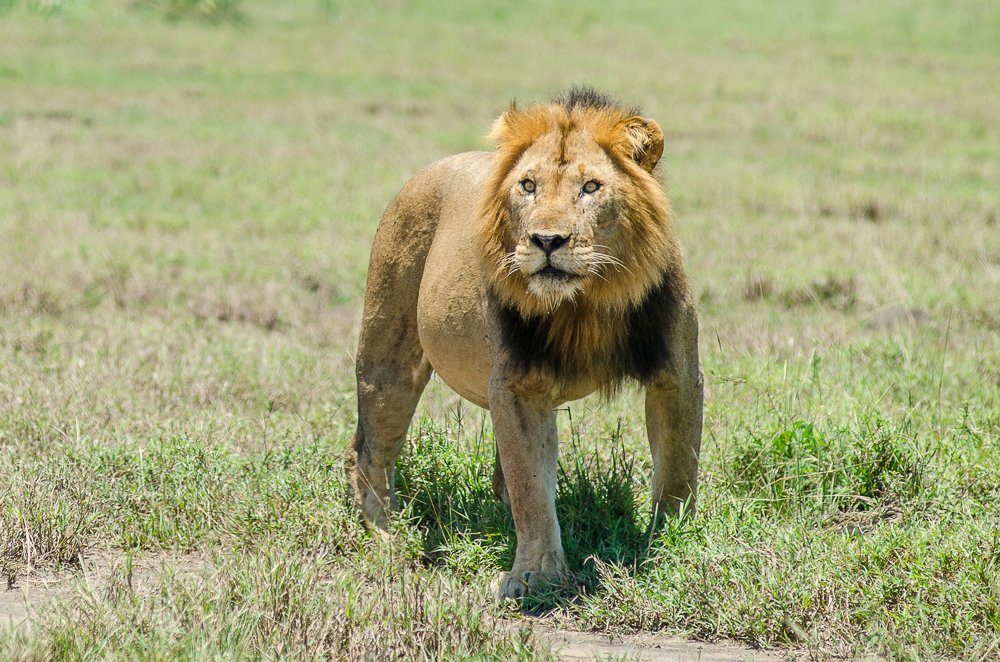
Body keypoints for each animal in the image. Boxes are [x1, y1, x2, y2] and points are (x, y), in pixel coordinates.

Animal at [346, 87, 703, 599]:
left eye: (591, 187)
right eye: (528, 186)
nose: (547, 240)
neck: (585, 303)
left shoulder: (678, 375)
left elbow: (677, 469)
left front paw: (673, 542)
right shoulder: (518, 385)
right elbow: (531, 487)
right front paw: (537, 577)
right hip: (387, 356)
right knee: (368, 449)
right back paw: (386, 536)